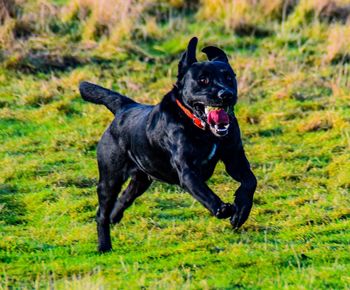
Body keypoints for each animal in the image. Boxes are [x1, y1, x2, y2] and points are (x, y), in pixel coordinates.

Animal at [79, 37, 258, 253]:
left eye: (229, 77)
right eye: (203, 80)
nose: (226, 94)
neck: (204, 131)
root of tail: (124, 108)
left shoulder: (235, 159)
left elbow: (250, 181)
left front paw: (240, 212)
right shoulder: (188, 171)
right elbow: (204, 192)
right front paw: (222, 209)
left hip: (141, 179)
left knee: (124, 198)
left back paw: (116, 216)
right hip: (110, 177)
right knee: (101, 213)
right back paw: (104, 245)